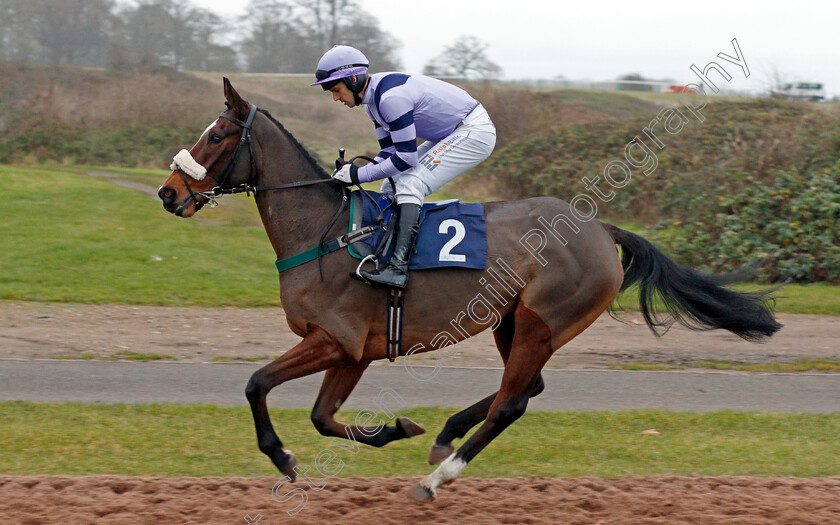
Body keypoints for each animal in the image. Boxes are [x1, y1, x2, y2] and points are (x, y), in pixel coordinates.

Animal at [159, 78, 780, 500]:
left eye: (217, 135)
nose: (168, 194)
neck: (326, 232)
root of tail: (601, 229)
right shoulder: (355, 351)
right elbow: (321, 416)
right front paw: (397, 427)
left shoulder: (334, 340)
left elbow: (257, 383)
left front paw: (283, 458)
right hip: (514, 321)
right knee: (527, 389)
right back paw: (446, 434)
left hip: (541, 322)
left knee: (512, 402)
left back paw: (439, 476)